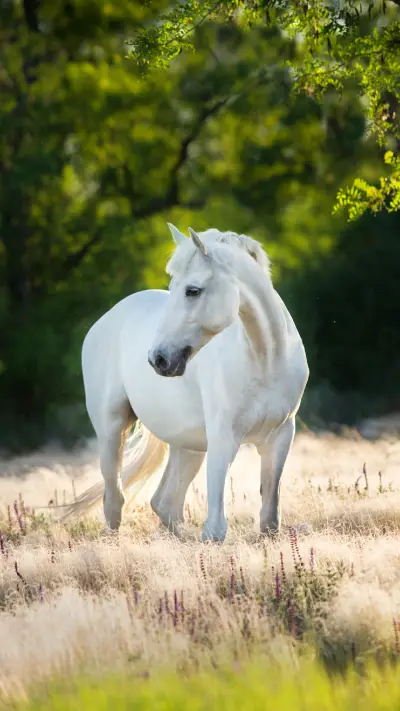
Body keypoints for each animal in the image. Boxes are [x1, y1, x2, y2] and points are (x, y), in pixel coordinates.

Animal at [65, 224, 309, 542]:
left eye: (193, 291)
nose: (158, 358)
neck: (265, 359)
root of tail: (104, 320)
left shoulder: (280, 437)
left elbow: (269, 520)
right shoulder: (223, 438)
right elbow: (215, 530)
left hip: (188, 446)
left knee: (165, 503)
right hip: (111, 431)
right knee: (115, 502)